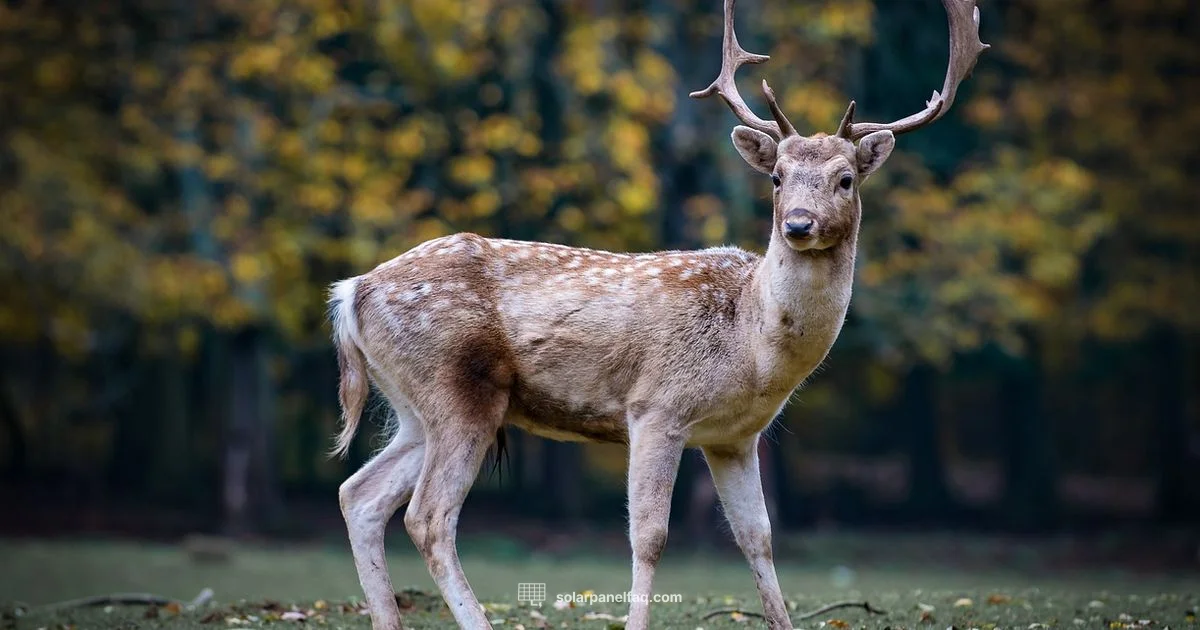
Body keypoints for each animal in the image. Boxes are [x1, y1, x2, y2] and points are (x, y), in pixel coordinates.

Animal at [329, 0, 987, 628]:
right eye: (776, 177)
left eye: (845, 179)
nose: (798, 224)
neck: (751, 346)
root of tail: (352, 291)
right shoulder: (656, 408)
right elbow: (650, 536)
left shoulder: (735, 438)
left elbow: (759, 538)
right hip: (457, 390)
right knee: (428, 516)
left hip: (415, 407)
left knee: (359, 494)